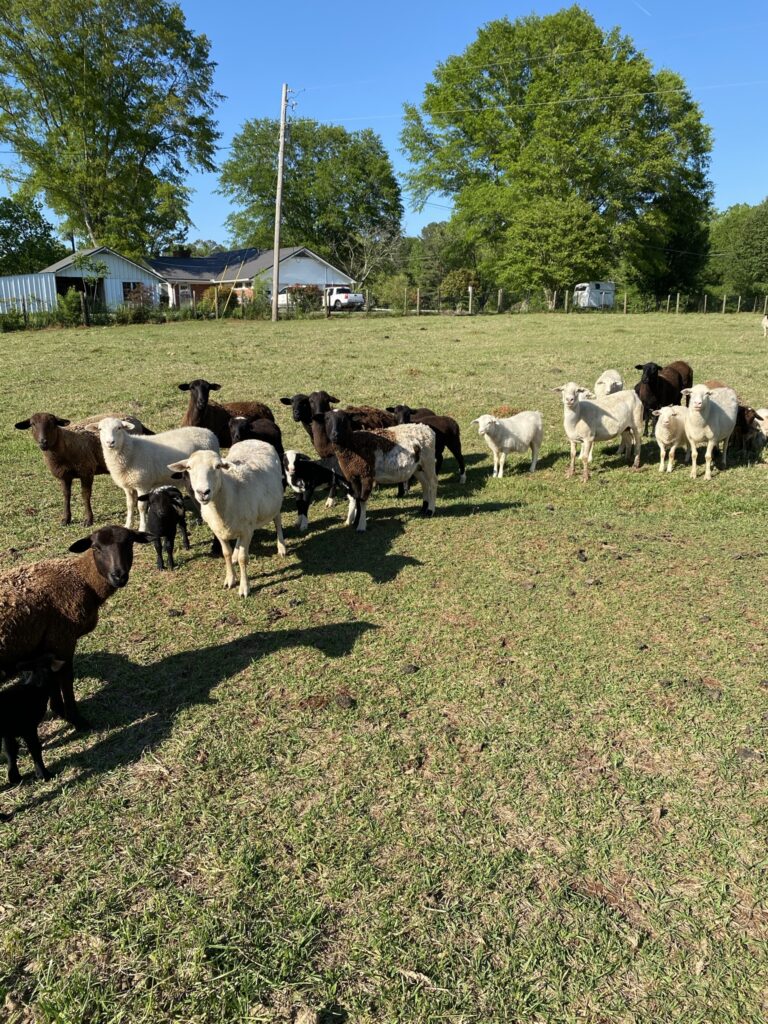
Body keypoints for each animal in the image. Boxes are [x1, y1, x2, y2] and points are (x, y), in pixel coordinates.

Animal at [0, 526, 149, 729]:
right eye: (95, 547)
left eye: (130, 542)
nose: (119, 576)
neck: (81, 579)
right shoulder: (62, 640)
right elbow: (66, 681)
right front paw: (77, 721)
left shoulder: (47, 647)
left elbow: (52, 679)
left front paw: (59, 710)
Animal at [0, 653, 64, 786]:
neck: (34, 689)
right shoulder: (29, 729)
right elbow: (35, 749)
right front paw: (44, 775)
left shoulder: (8, 733)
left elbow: (10, 751)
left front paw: (14, 777)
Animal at [14, 412, 151, 526]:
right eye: (32, 424)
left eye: (53, 424)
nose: (43, 442)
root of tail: (136, 421)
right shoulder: (64, 476)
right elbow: (66, 495)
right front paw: (66, 519)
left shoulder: (86, 471)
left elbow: (85, 495)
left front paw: (88, 520)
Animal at [168, 441, 286, 598]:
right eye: (189, 467)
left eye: (218, 466)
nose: (203, 492)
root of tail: (254, 440)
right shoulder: (218, 530)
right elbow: (226, 554)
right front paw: (230, 579)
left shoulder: (247, 530)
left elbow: (243, 558)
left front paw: (244, 587)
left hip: (275, 502)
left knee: (277, 520)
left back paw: (281, 547)